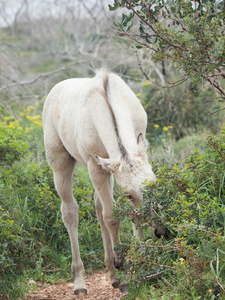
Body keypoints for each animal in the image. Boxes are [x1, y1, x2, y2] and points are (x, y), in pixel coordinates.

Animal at [43, 69, 157, 296]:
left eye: (156, 182)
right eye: (129, 194)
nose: (161, 231)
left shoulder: (110, 166)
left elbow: (124, 215)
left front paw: (140, 261)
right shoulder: (94, 166)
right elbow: (112, 217)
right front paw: (124, 268)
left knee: (98, 207)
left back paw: (113, 274)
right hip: (60, 162)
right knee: (70, 211)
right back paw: (80, 282)